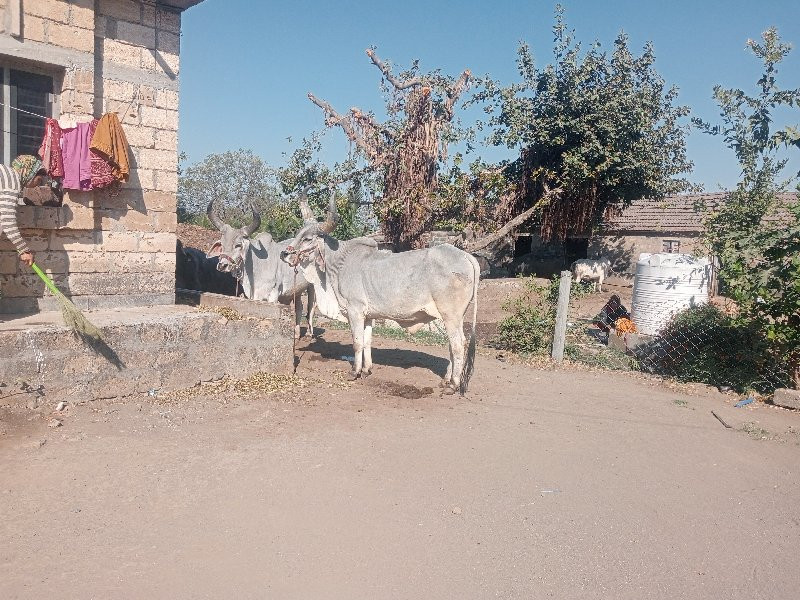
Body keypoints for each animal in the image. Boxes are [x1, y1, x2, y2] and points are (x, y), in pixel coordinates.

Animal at [282, 196, 482, 394]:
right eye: (298, 233)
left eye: (308, 238)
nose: (284, 254)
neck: (339, 265)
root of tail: (465, 256)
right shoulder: (368, 316)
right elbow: (367, 341)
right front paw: (366, 369)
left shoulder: (355, 311)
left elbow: (357, 342)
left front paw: (354, 372)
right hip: (452, 317)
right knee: (452, 345)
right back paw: (446, 380)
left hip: (451, 315)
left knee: (458, 344)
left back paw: (453, 384)